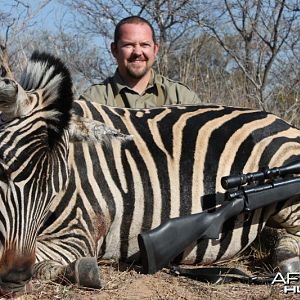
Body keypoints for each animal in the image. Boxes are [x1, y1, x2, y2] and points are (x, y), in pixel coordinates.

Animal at [0, 52, 300, 296]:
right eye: (4, 171)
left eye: (57, 186)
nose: (14, 277)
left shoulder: (78, 234)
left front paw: (79, 271)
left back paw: (289, 261)